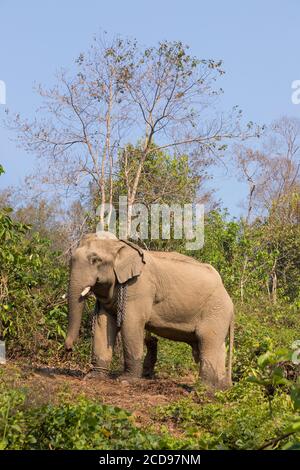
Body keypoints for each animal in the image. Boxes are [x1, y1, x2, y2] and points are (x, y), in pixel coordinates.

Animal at [65, 232, 234, 390]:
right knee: (217, 347)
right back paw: (220, 389)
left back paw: (202, 390)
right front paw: (93, 377)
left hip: (217, 310)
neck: (122, 246)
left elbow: (131, 324)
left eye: (95, 260)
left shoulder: (139, 286)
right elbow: (103, 322)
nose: (69, 349)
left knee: (208, 342)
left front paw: (126, 381)